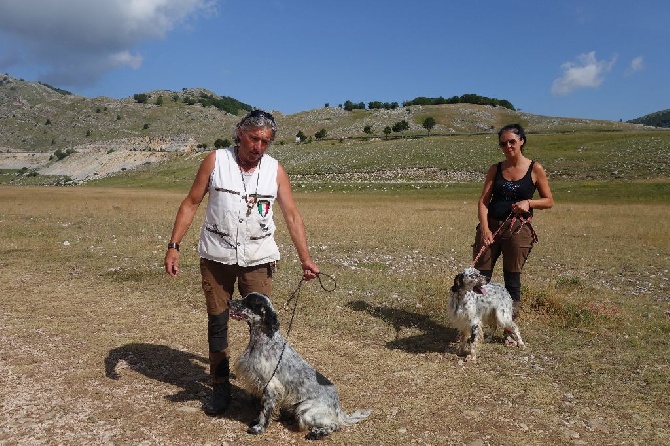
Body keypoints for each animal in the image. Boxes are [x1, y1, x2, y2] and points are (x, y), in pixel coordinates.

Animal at [228, 290, 370, 440]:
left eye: (248, 301)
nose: (229, 302)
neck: (265, 340)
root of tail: (337, 406)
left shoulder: (271, 386)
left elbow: (265, 411)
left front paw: (259, 427)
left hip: (306, 411)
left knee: (335, 425)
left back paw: (317, 433)